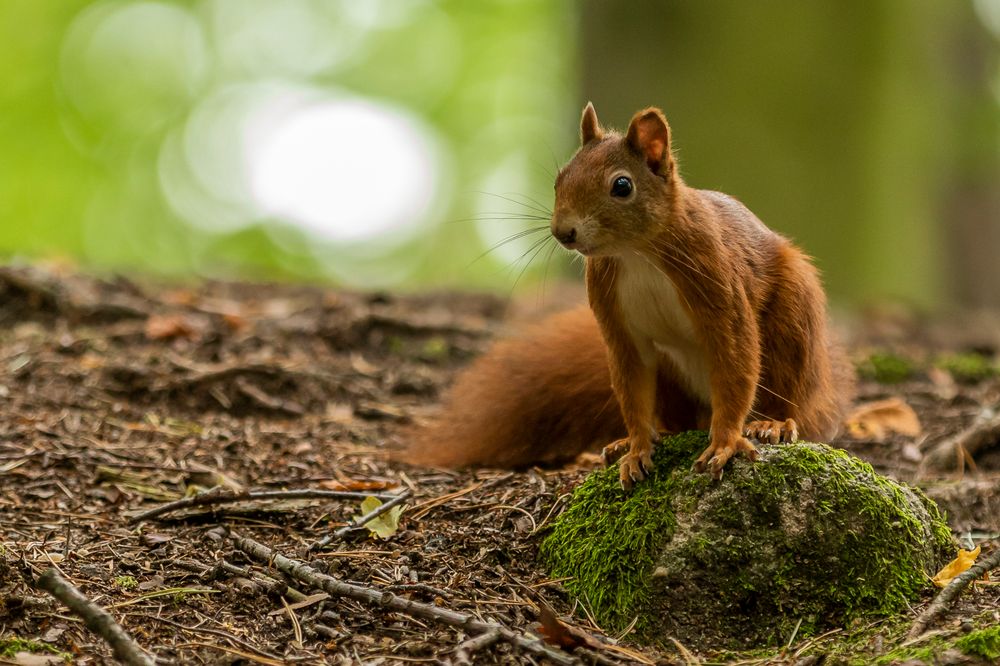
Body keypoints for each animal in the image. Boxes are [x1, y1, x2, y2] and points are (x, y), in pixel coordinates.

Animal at [402, 105, 856, 488]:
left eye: (622, 186)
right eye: (559, 179)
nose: (563, 232)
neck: (636, 254)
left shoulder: (717, 285)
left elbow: (736, 360)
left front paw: (726, 441)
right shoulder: (618, 325)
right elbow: (632, 385)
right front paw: (637, 447)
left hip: (792, 326)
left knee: (788, 394)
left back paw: (773, 424)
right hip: (672, 376)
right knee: (680, 420)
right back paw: (650, 436)